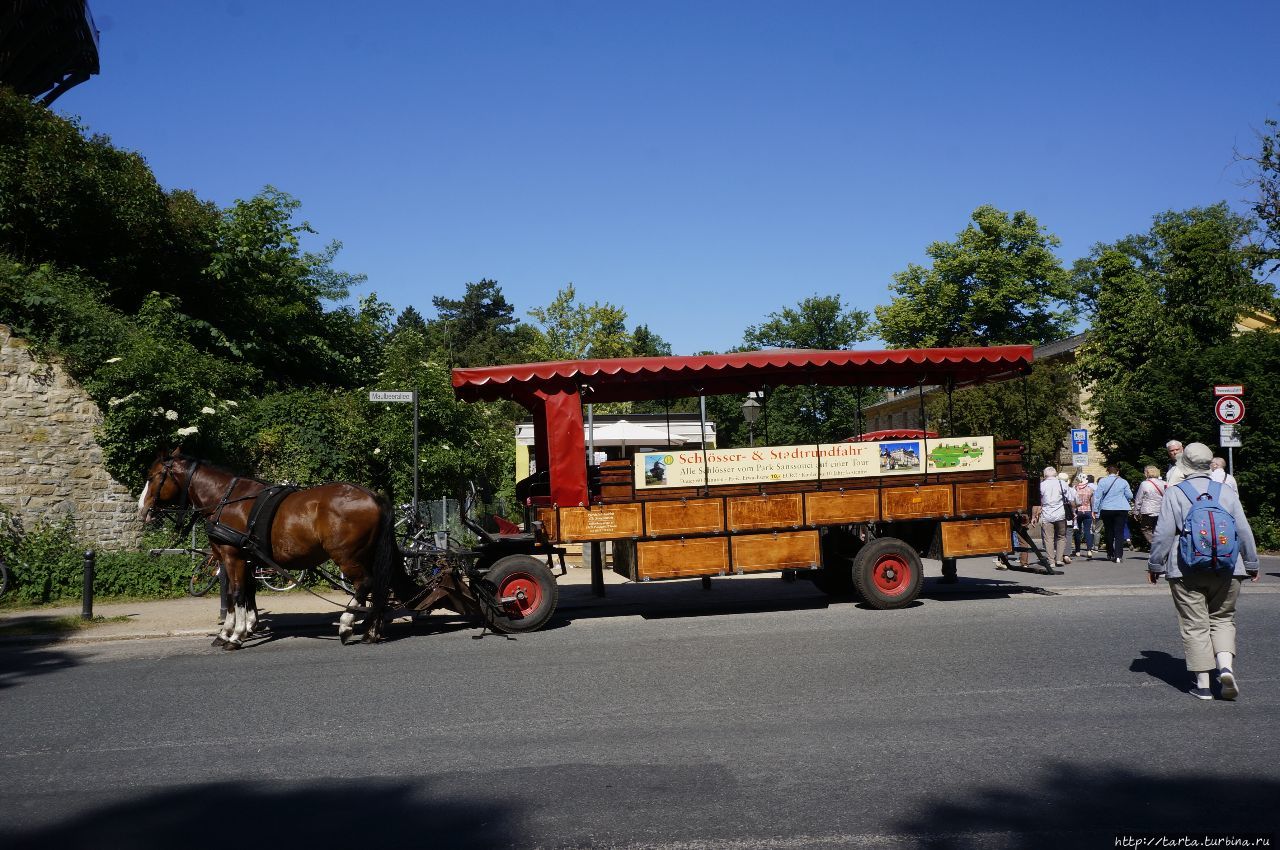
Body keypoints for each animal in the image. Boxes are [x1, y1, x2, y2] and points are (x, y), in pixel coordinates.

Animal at [135, 448, 407, 647]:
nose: (142, 510)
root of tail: (373, 496)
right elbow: (239, 593)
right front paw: (232, 630)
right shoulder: (236, 557)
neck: (225, 500)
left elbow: (237, 593)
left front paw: (235, 634)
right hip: (368, 554)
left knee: (365, 583)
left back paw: (346, 624)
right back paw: (371, 630)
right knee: (380, 586)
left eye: (151, 477)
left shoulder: (233, 556)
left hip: (346, 556)